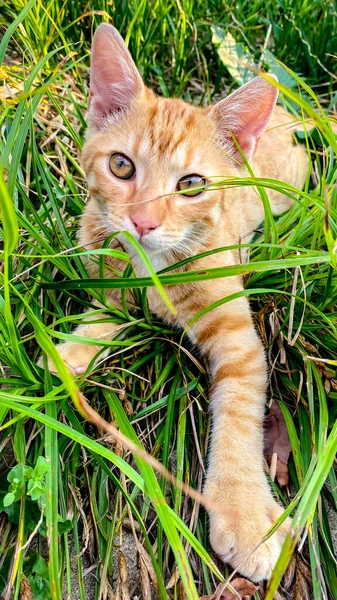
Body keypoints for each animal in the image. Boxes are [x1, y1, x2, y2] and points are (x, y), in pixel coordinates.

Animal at [46, 24, 308, 580]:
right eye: (121, 166)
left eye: (191, 185)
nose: (143, 222)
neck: (154, 267)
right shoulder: (107, 263)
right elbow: (107, 306)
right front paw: (73, 351)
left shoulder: (240, 343)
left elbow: (238, 416)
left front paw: (244, 514)